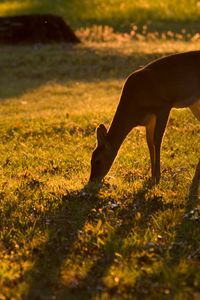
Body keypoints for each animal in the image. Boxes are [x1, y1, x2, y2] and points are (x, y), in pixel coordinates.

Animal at [89, 50, 200, 184]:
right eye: (91, 159)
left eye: (97, 161)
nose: (91, 180)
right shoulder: (149, 120)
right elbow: (149, 142)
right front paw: (151, 177)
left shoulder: (164, 106)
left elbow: (157, 139)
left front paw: (157, 176)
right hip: (195, 103)